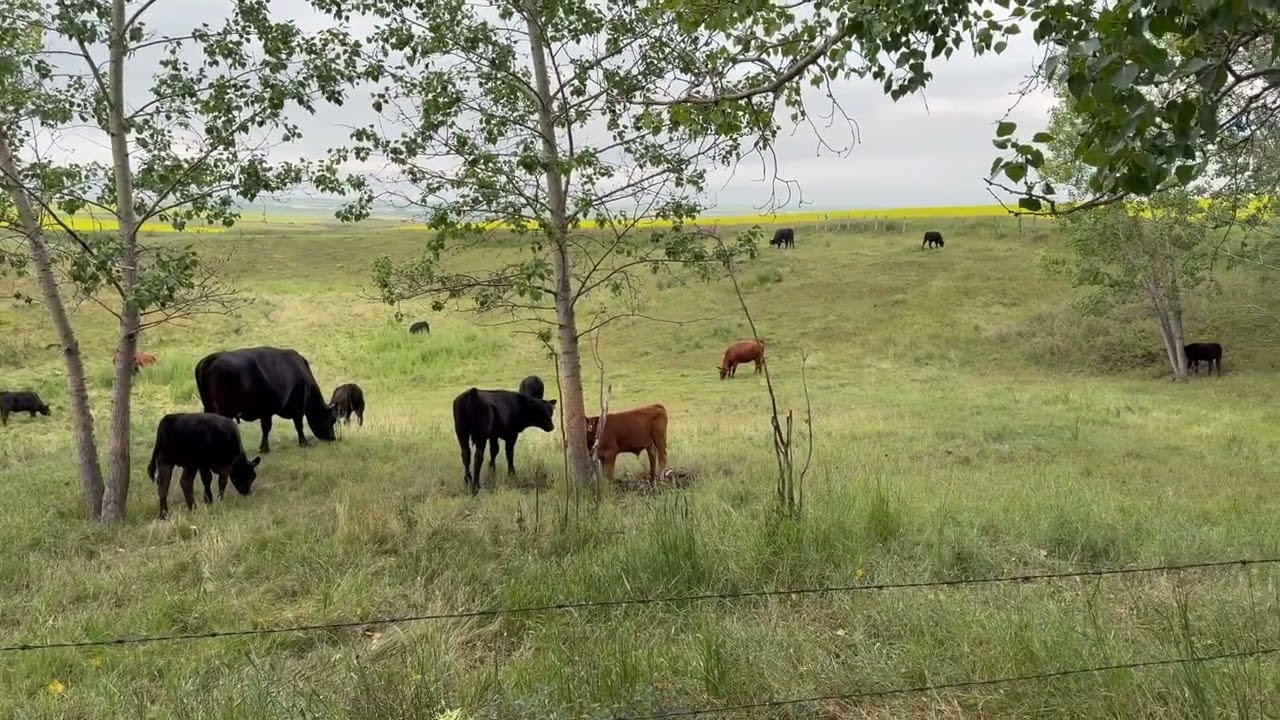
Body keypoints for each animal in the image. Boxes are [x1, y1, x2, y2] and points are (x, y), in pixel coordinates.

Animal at [194, 346, 338, 453]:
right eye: (332, 419)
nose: (333, 438)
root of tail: (212, 358)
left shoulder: (266, 411)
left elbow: (266, 428)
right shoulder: (297, 407)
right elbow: (297, 425)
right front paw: (304, 443)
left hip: (208, 406)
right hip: (224, 409)